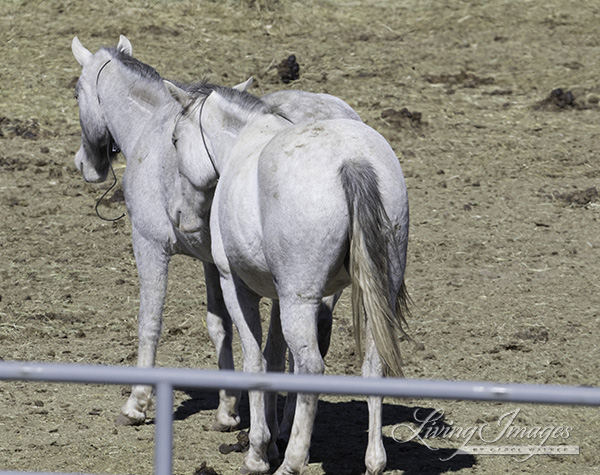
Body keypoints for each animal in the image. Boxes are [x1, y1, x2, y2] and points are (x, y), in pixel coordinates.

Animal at [70, 35, 360, 434]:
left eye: (76, 93)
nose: (85, 165)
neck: (149, 128)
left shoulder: (149, 247)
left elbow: (150, 322)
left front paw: (136, 404)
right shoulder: (213, 263)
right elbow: (219, 327)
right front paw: (228, 409)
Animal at [168, 80, 412, 474]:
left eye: (175, 140)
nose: (179, 216)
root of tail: (352, 161)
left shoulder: (236, 286)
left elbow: (256, 360)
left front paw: (258, 452)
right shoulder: (283, 296)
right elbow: (277, 356)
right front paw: (272, 440)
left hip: (299, 300)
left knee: (311, 365)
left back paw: (292, 462)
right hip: (375, 296)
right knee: (373, 364)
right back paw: (374, 460)